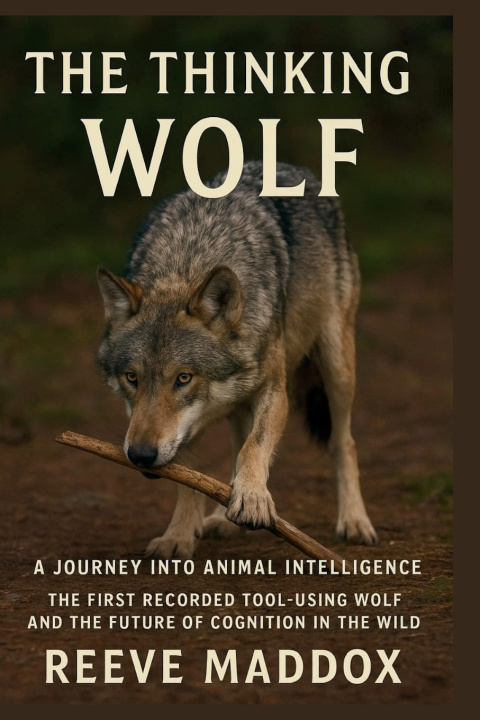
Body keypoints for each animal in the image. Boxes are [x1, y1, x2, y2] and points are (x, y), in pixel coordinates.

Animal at [97, 161, 377, 558]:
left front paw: (254, 500)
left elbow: (254, 447)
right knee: (234, 448)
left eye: (183, 378)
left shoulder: (274, 391)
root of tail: (291, 167)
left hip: (336, 366)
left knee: (344, 442)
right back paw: (222, 518)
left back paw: (354, 521)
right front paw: (178, 534)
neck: (188, 262)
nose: (140, 455)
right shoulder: (178, 428)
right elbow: (190, 474)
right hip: (242, 402)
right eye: (131, 378)